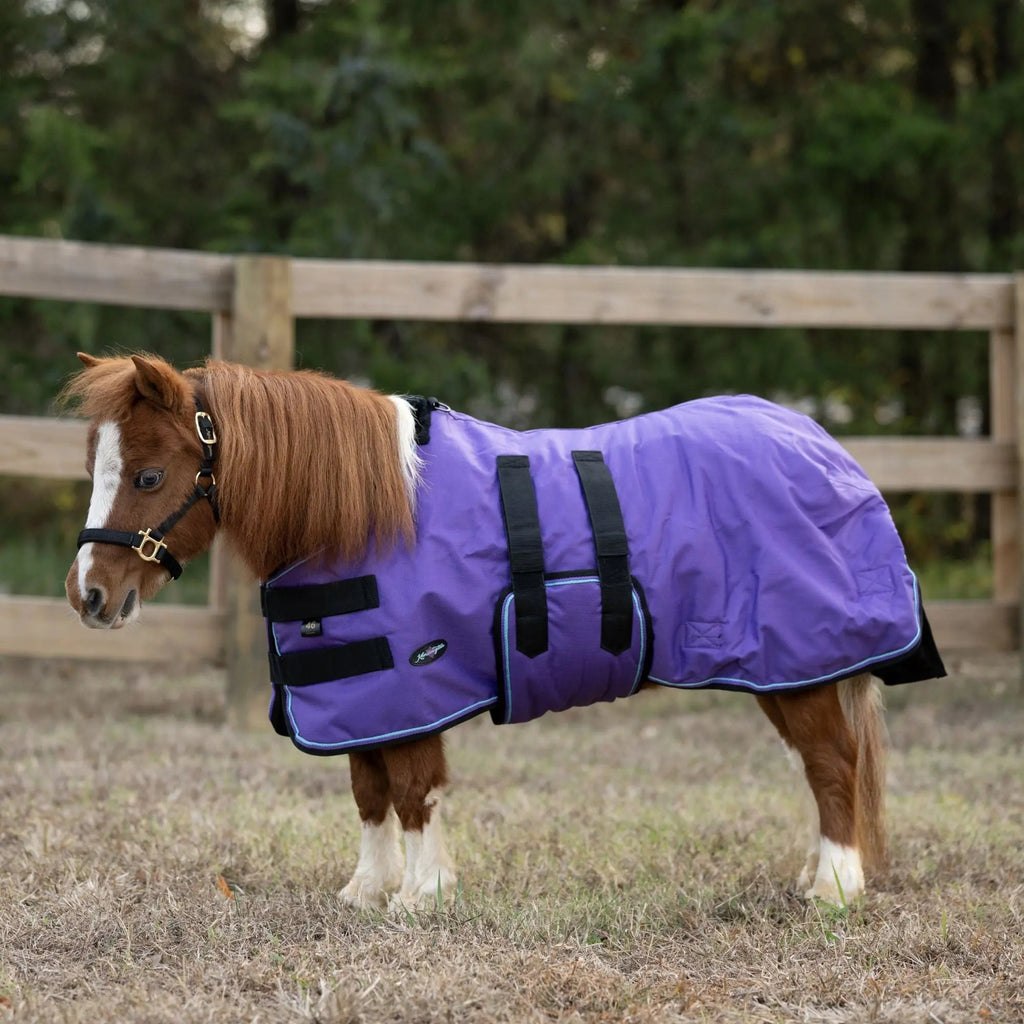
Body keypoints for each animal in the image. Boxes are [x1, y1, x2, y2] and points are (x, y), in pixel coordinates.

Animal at [61, 352, 945, 910]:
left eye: (149, 475)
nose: (88, 595)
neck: (365, 512)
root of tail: (819, 442)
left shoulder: (414, 682)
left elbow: (413, 790)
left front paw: (420, 897)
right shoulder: (361, 692)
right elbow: (368, 792)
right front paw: (367, 890)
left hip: (796, 664)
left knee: (832, 765)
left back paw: (834, 890)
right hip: (781, 670)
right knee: (821, 766)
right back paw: (816, 876)